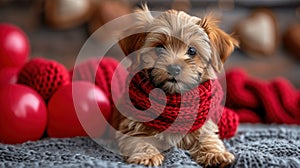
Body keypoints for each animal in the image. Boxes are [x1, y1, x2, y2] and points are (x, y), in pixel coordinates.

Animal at [111, 4, 238, 167]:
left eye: (192, 50)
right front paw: (148, 156)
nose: (174, 68)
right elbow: (139, 142)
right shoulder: (130, 128)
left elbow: (208, 139)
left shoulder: (205, 127)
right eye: (159, 48)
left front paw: (216, 154)